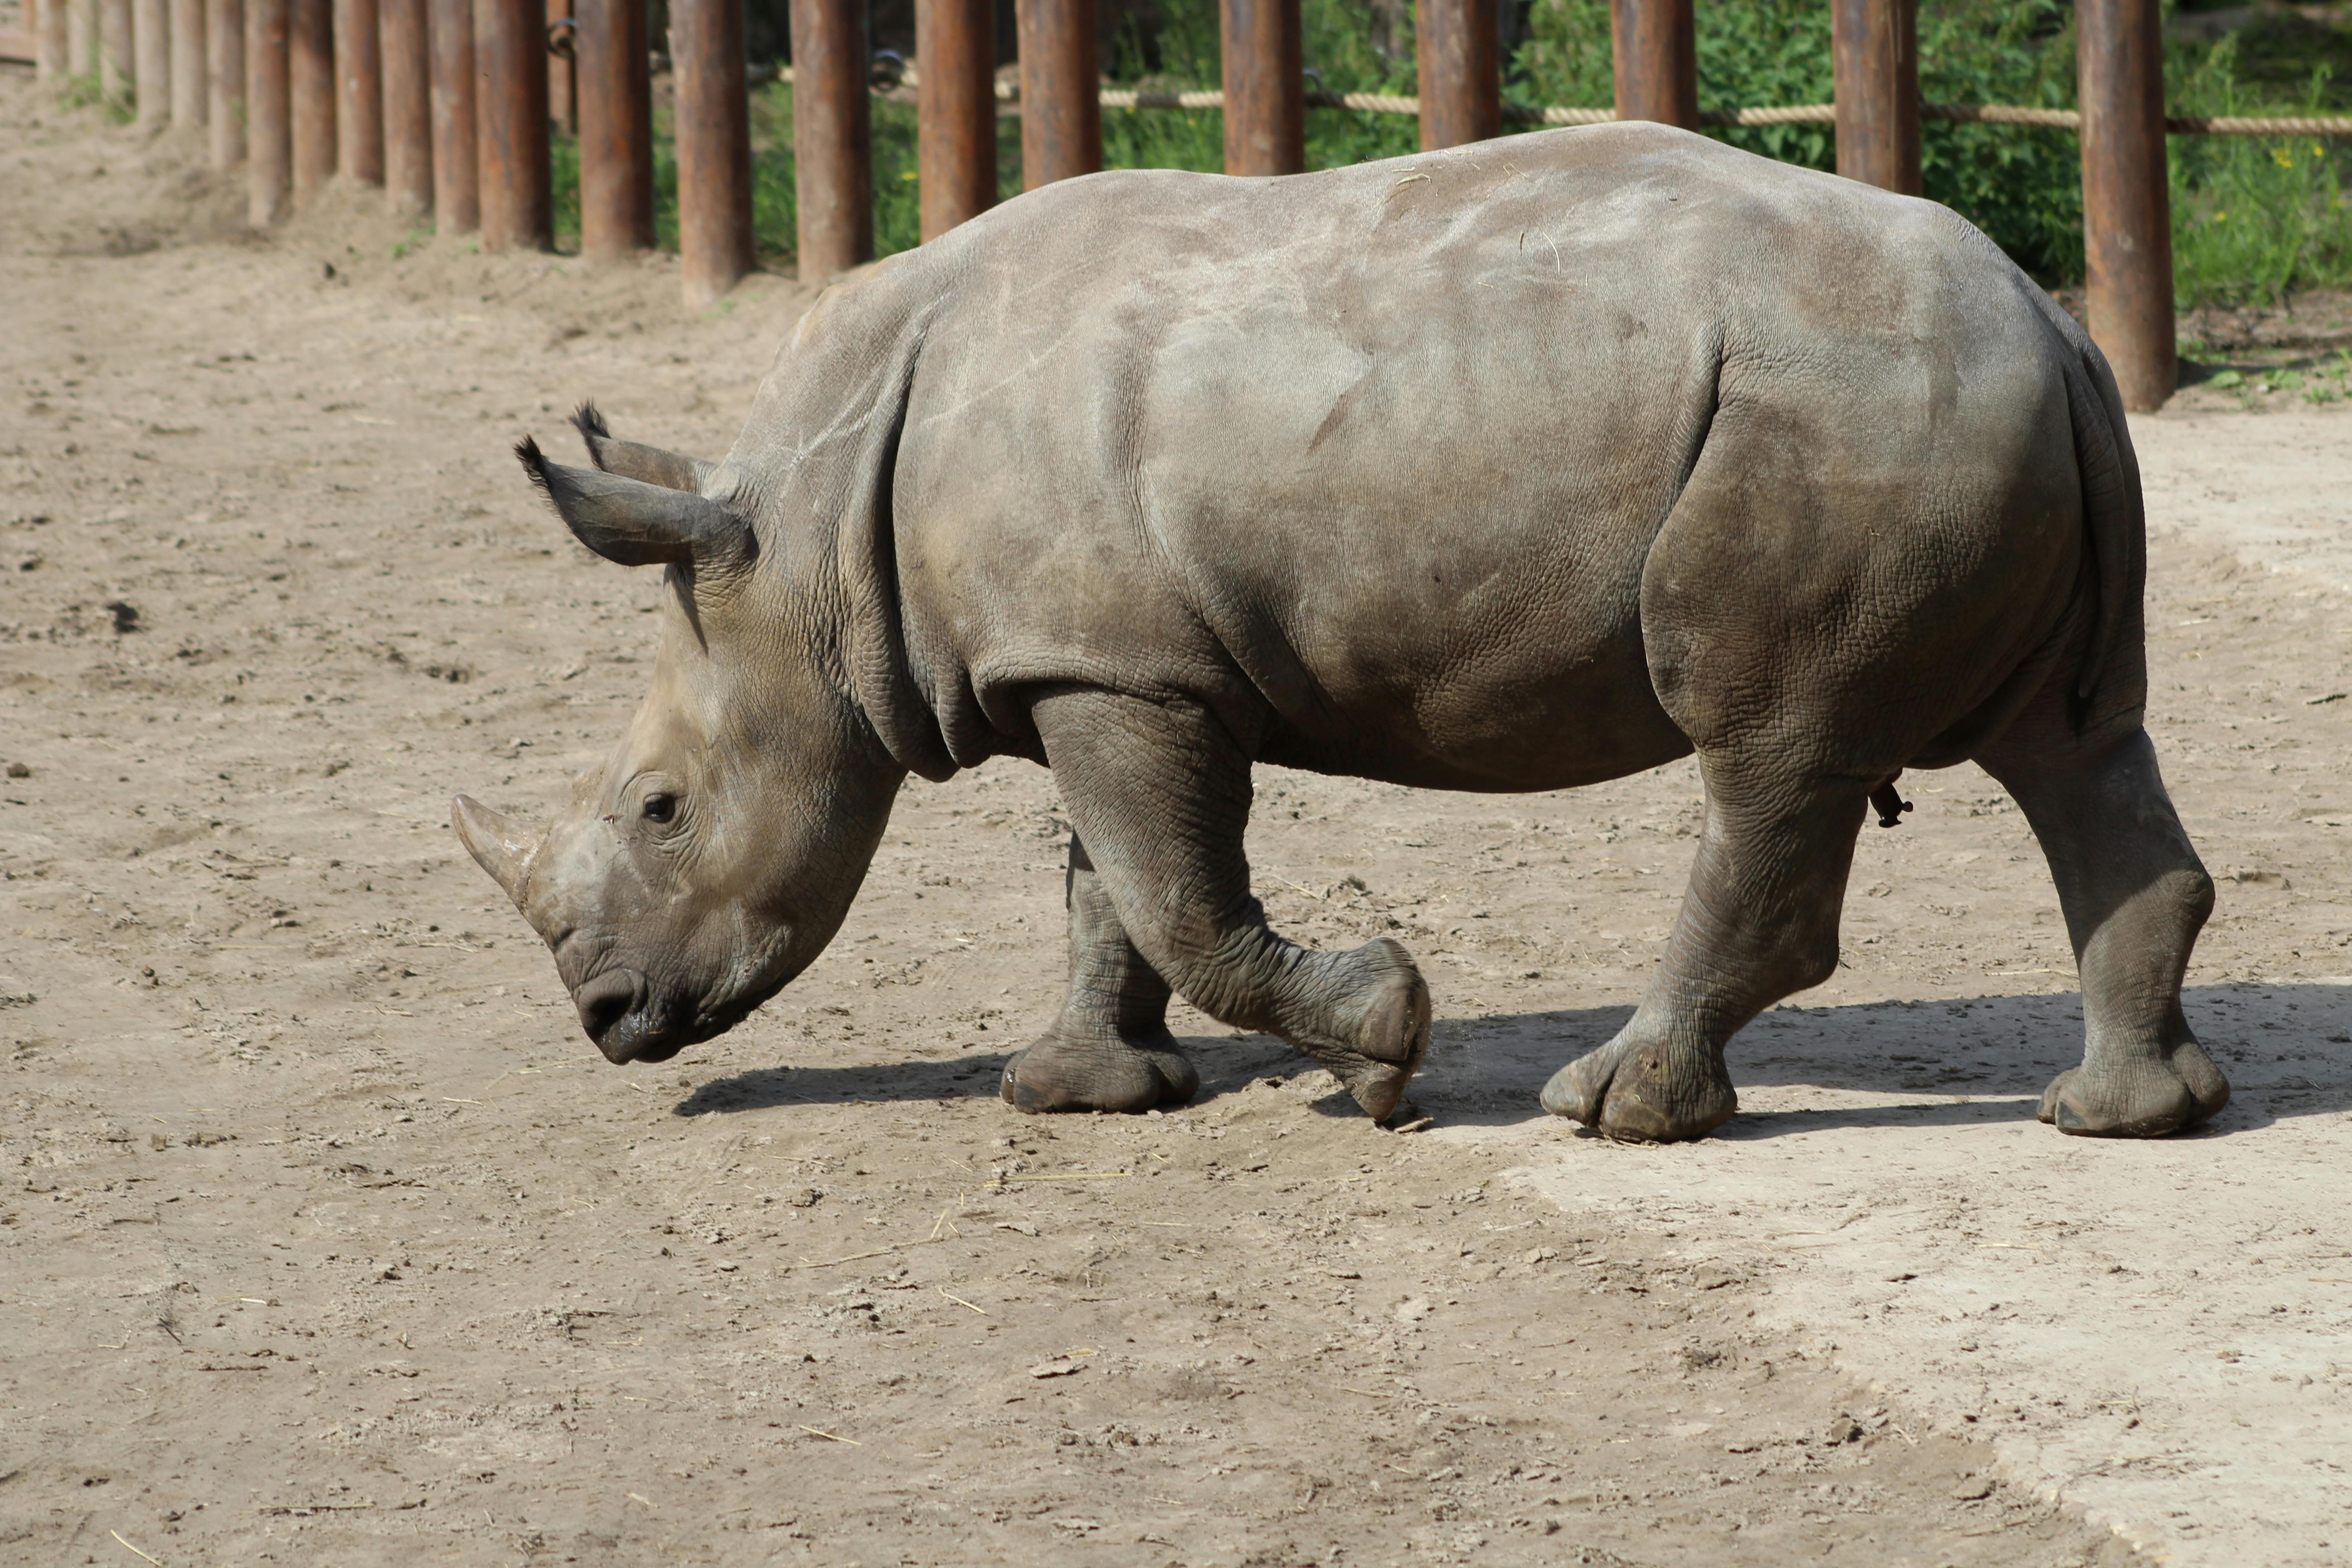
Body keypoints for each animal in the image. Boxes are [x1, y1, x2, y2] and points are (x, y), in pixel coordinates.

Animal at [451, 122, 2228, 1143]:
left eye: (661, 809)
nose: (606, 1022)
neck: (810, 545)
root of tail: (2055, 323)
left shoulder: (1120, 669)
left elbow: (1176, 901)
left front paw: (1382, 1051)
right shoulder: (1103, 659)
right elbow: (1108, 889)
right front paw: (1078, 1093)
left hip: (1847, 413)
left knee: (1769, 748)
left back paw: (1613, 1110)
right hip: (1960, 414)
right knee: (2069, 746)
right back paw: (2119, 1115)